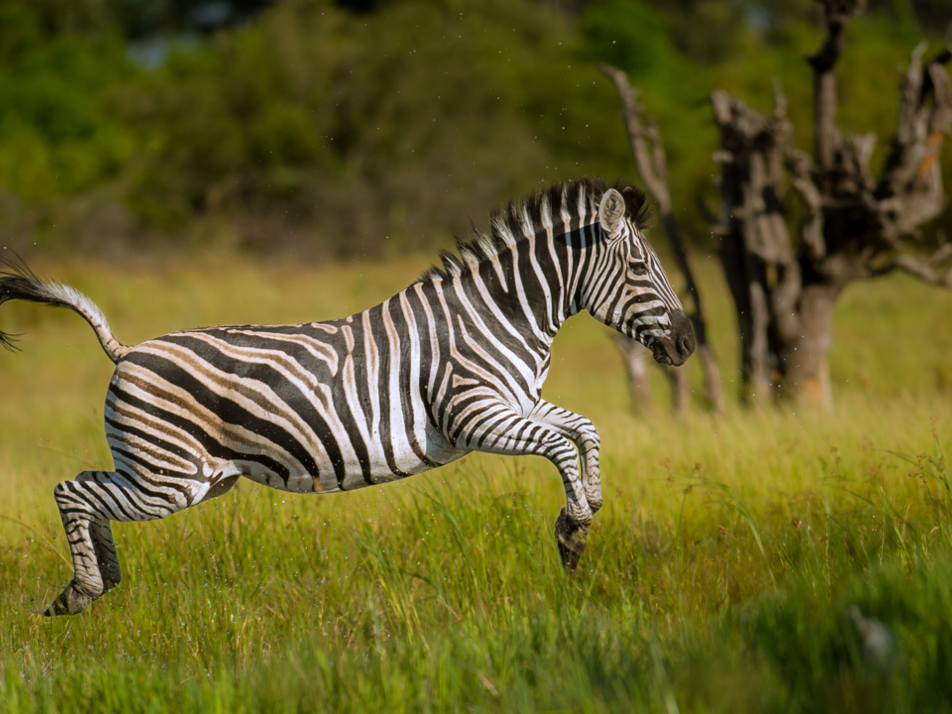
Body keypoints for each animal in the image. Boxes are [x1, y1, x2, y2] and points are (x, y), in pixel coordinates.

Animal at [0, 177, 694, 616]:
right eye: (640, 269)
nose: (688, 343)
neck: (501, 315)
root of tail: (125, 351)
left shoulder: (515, 403)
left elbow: (584, 430)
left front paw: (584, 515)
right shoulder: (475, 415)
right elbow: (561, 444)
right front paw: (574, 531)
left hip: (188, 477)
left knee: (88, 494)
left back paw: (97, 583)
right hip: (168, 477)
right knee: (72, 490)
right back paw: (82, 590)